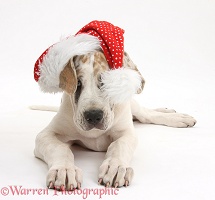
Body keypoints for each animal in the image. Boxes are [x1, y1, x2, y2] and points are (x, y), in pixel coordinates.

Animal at [33, 28, 197, 190]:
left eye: (105, 82)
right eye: (78, 83)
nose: (93, 116)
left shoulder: (127, 133)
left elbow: (119, 146)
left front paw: (116, 167)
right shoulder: (47, 134)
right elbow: (60, 148)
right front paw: (64, 170)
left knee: (145, 114)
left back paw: (174, 116)